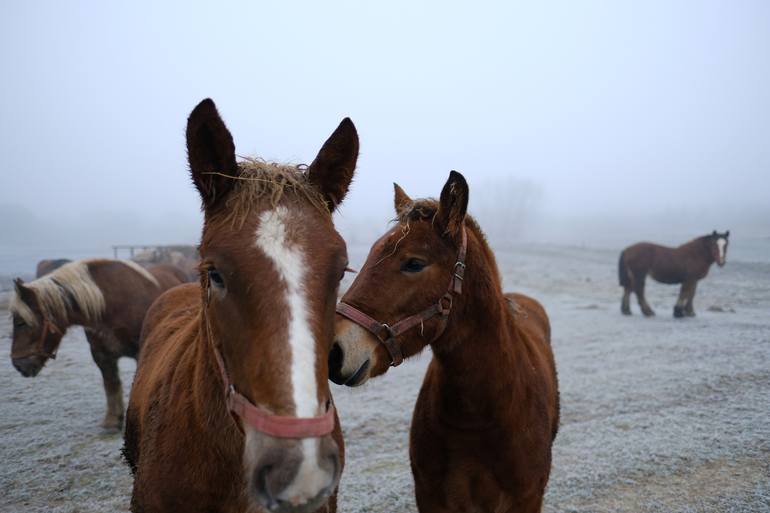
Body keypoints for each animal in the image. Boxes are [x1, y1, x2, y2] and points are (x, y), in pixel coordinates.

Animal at [9, 258, 186, 430]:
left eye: (20, 322)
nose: (18, 365)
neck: (109, 305)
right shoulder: (102, 356)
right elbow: (111, 385)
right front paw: (113, 420)